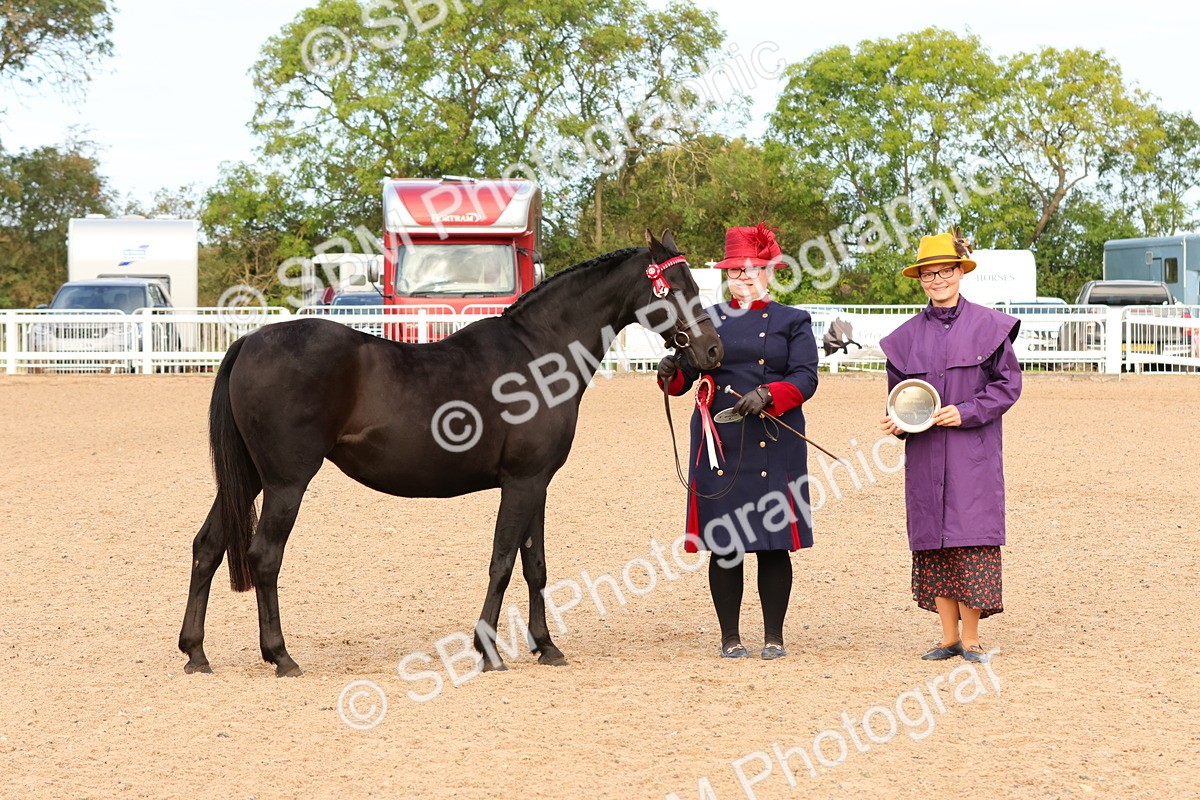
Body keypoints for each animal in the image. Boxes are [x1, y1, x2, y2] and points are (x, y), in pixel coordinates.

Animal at [178, 230, 723, 676]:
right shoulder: (521, 482)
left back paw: (196, 652)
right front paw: (489, 651)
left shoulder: (538, 483)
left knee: (207, 546)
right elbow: (502, 561)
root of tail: (250, 340)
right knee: (265, 556)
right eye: (675, 286)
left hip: (249, 478)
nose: (713, 351)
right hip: (286, 483)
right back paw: (281, 656)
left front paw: (546, 646)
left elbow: (535, 564)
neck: (538, 354)